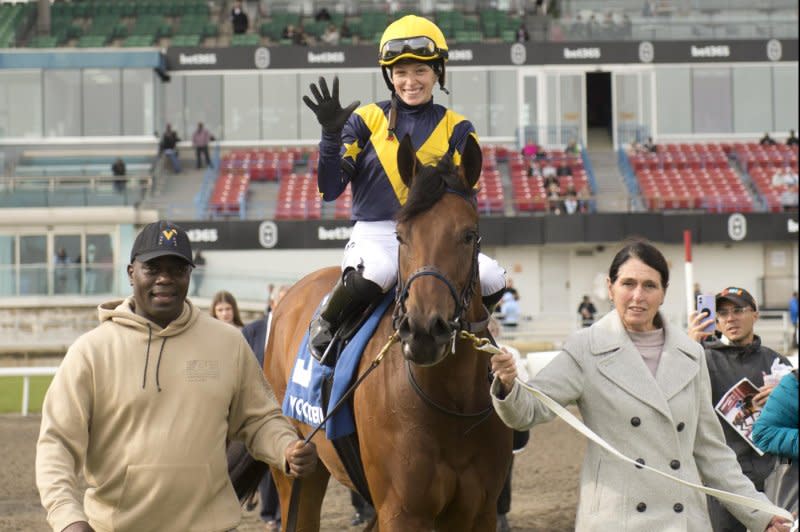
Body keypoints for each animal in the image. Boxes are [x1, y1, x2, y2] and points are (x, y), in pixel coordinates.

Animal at [262, 135, 512, 528]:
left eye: (469, 235)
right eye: (401, 236)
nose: (425, 330)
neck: (450, 401)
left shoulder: (477, 511)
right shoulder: (402, 511)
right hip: (297, 466)